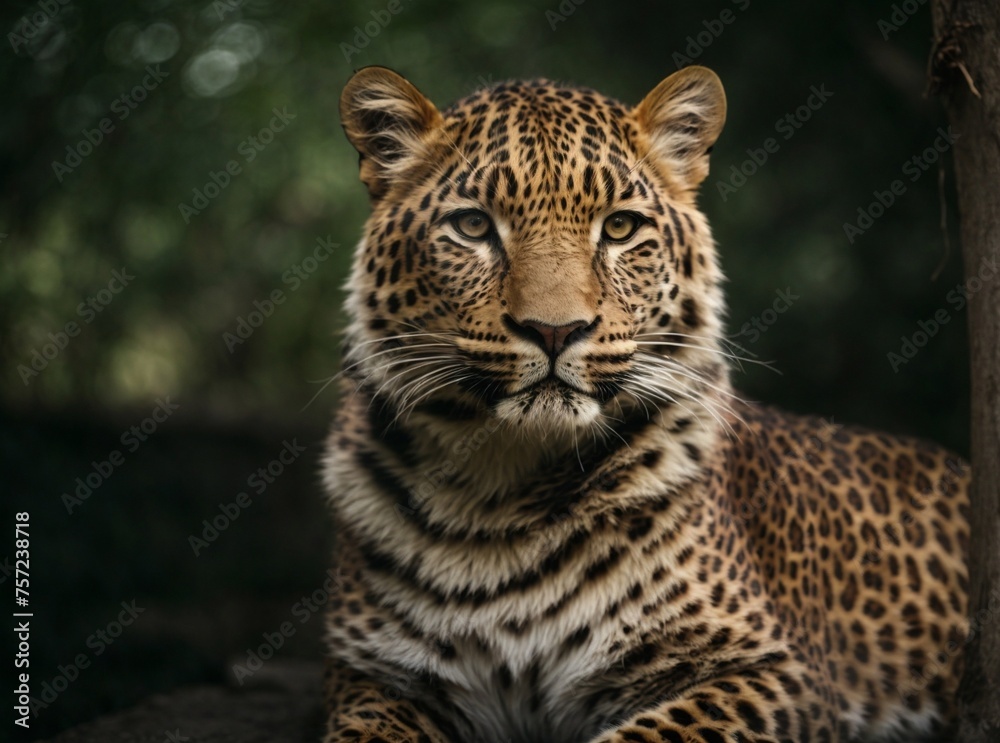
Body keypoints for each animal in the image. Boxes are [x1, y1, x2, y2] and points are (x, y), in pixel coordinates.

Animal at [320, 65, 971, 743]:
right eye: (473, 226)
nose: (554, 330)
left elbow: (649, 733)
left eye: (620, 228)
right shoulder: (369, 675)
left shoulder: (777, 670)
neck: (503, 495)